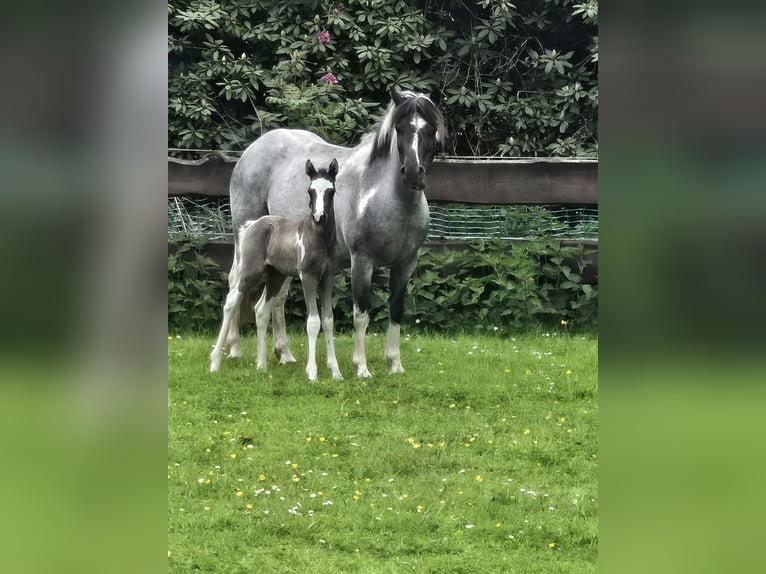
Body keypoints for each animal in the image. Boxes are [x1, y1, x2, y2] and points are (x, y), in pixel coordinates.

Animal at [210, 159, 343, 382]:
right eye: (310, 191)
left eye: (331, 191)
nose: (319, 217)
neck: (319, 238)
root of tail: (251, 225)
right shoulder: (308, 277)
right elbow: (313, 322)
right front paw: (312, 373)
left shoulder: (327, 278)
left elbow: (328, 320)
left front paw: (336, 371)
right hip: (250, 273)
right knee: (231, 301)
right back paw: (215, 361)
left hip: (276, 276)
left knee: (261, 310)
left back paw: (261, 365)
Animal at [227, 89, 447, 377]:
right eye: (399, 128)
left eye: (430, 129)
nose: (412, 173)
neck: (385, 196)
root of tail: (251, 150)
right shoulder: (362, 262)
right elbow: (361, 314)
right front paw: (361, 367)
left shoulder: (406, 264)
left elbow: (396, 311)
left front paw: (394, 364)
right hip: (244, 243)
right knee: (235, 284)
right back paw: (234, 349)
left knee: (277, 299)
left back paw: (284, 353)